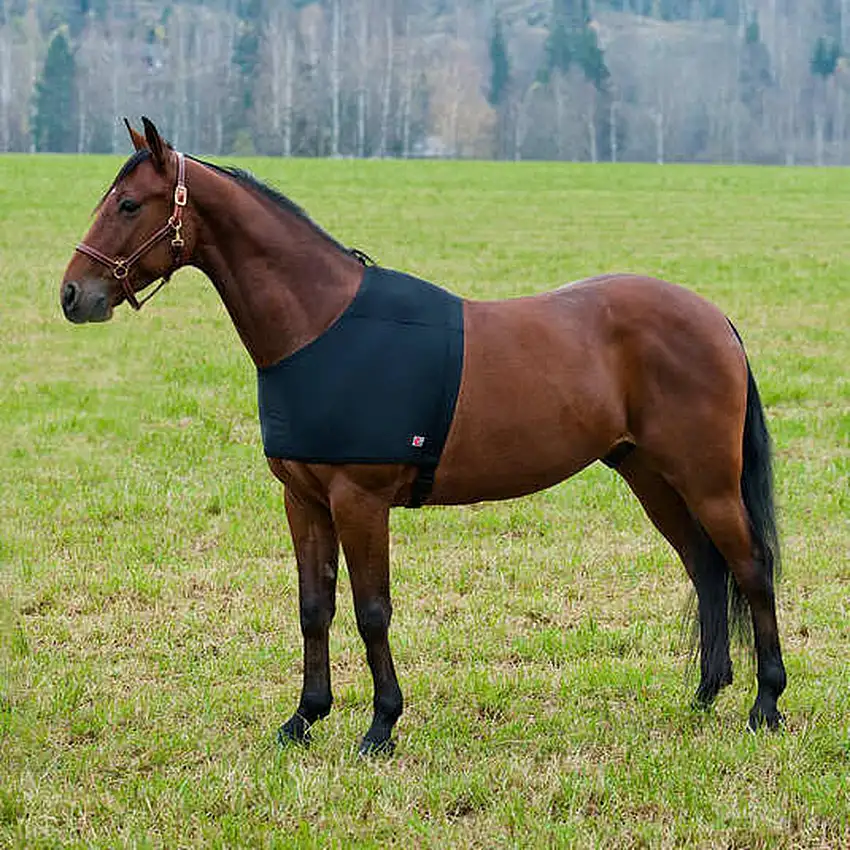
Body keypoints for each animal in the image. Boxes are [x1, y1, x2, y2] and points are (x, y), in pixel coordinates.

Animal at [60, 118, 786, 755]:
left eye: (129, 204)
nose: (73, 295)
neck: (321, 323)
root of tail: (715, 319)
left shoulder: (360, 500)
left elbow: (371, 610)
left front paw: (380, 726)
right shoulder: (304, 500)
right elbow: (313, 607)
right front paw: (305, 717)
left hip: (707, 482)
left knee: (750, 569)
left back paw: (766, 703)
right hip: (651, 477)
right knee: (705, 569)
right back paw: (705, 695)